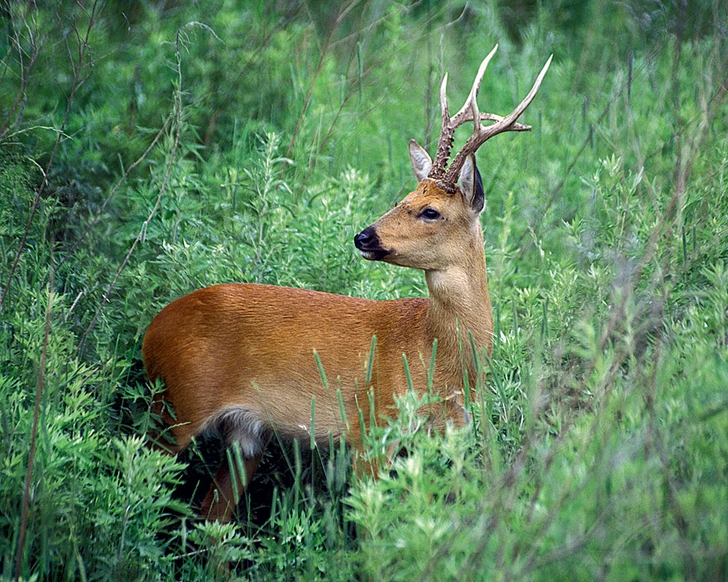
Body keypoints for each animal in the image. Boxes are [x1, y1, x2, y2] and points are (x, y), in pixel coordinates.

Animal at [142, 43, 552, 524]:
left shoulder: (447, 435)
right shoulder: (371, 427)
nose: (364, 236)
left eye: (429, 210)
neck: (438, 354)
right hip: (176, 406)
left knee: (213, 517)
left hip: (244, 434)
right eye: (403, 198)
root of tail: (152, 330)